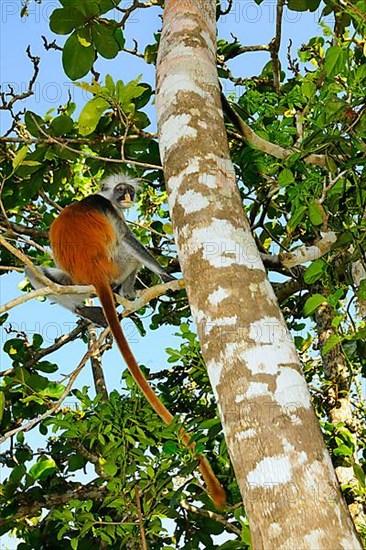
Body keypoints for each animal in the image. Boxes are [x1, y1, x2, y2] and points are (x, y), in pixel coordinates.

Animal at [26, 175, 226, 512]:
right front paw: (166, 274)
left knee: (36, 272)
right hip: (115, 263)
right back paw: (127, 292)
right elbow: (129, 238)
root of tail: (94, 273)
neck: (105, 197)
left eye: (130, 191)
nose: (127, 197)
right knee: (129, 251)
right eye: (121, 191)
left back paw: (89, 311)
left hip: (72, 281)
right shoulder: (107, 207)